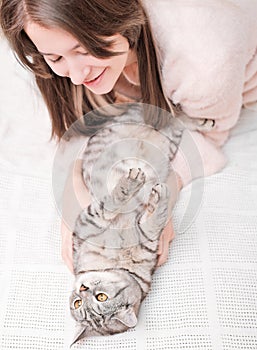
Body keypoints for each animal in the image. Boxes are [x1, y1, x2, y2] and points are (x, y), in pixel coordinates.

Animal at [68, 104, 212, 344]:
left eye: (101, 296)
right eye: (78, 303)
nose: (82, 287)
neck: (118, 263)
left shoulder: (85, 223)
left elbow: (112, 204)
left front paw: (131, 186)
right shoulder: (145, 234)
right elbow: (153, 218)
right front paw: (155, 196)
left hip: (138, 120)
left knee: (170, 114)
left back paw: (201, 119)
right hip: (169, 139)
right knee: (174, 121)